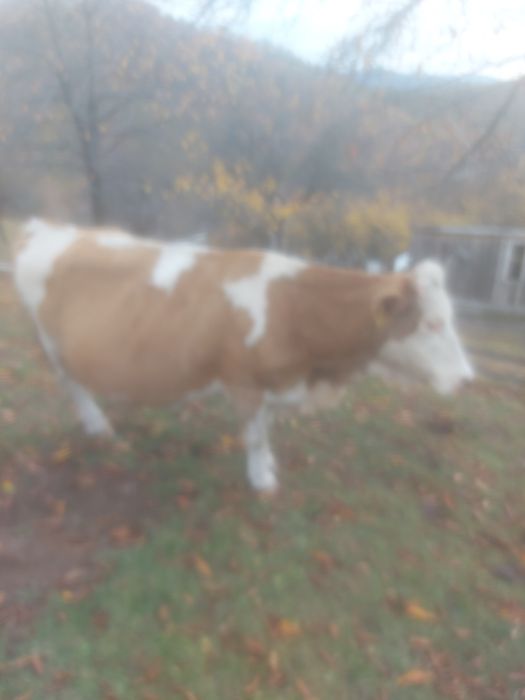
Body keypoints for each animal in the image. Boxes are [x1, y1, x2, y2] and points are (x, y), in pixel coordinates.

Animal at [13, 218, 474, 492]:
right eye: (433, 323)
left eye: (450, 318)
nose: (468, 379)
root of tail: (50, 228)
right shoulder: (243, 381)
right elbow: (254, 435)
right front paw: (261, 480)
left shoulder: (272, 383)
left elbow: (265, 429)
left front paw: (268, 466)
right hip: (50, 344)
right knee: (72, 385)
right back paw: (98, 425)